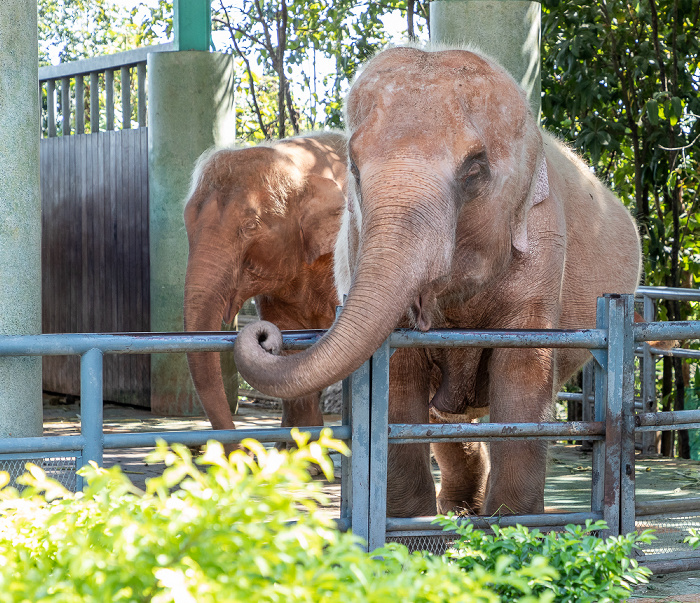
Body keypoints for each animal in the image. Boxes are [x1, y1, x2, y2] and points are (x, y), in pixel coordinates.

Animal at [234, 48, 640, 520]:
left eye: (475, 168)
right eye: (354, 167)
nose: (264, 334)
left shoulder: (542, 243)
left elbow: (523, 371)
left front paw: (514, 522)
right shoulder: (356, 241)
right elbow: (398, 378)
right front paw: (410, 523)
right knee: (446, 416)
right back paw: (458, 510)